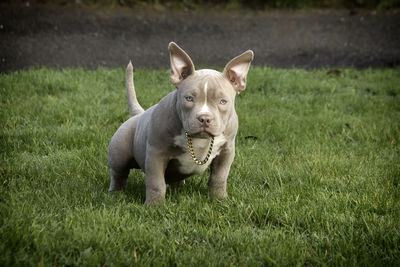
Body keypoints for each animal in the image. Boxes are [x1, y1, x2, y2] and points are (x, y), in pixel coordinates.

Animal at [108, 42, 255, 205]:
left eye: (223, 102)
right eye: (189, 98)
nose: (204, 118)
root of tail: (139, 114)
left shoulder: (226, 151)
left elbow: (219, 177)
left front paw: (219, 200)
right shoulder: (156, 153)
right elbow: (155, 182)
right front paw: (154, 205)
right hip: (119, 151)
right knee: (119, 173)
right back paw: (116, 194)